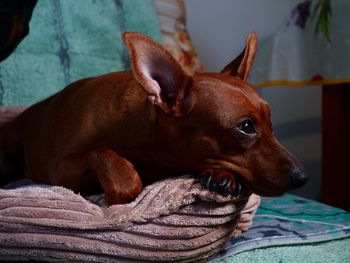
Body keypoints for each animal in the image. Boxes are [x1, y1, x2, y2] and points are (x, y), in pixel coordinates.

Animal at [0, 32, 306, 204]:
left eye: (271, 125)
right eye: (245, 127)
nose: (302, 177)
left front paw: (221, 175)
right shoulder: (61, 169)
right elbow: (106, 157)